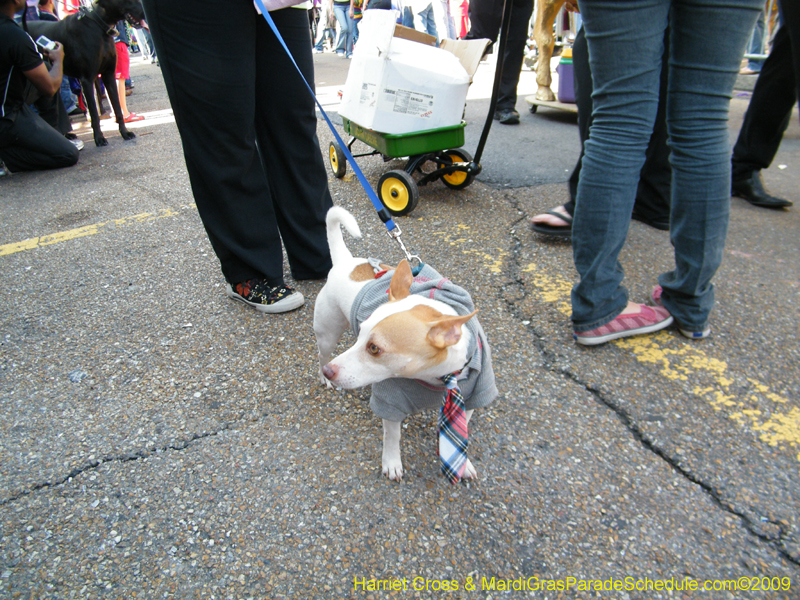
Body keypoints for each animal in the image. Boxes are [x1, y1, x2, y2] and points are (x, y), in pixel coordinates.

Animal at [27, 0, 145, 146]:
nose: (146, 14)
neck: (99, 24)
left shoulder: (108, 75)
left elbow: (117, 107)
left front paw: (124, 132)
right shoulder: (87, 80)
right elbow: (94, 113)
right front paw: (99, 138)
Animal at [310, 209, 494, 480]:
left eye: (374, 348)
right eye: (361, 332)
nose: (330, 372)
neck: (439, 377)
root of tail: (345, 261)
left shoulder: (473, 396)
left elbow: (463, 427)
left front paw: (464, 463)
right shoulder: (391, 402)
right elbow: (392, 435)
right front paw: (392, 463)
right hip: (327, 334)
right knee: (322, 354)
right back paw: (323, 375)